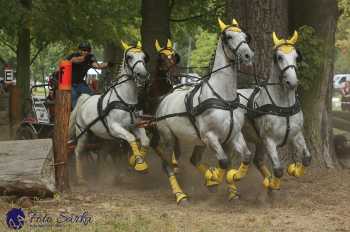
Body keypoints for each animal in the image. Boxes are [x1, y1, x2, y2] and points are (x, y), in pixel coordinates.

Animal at [68, 40, 150, 184]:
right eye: (129, 57)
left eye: (144, 57)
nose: (142, 75)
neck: (125, 101)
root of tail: (85, 99)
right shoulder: (115, 127)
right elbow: (131, 138)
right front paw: (140, 165)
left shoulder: (135, 125)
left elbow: (145, 140)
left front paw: (135, 161)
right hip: (83, 132)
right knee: (79, 152)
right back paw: (81, 178)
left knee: (102, 152)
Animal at [153, 17, 254, 203]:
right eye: (228, 37)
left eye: (245, 36)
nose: (248, 55)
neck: (223, 98)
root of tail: (164, 99)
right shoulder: (210, 136)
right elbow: (224, 162)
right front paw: (214, 180)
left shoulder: (234, 134)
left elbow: (246, 157)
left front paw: (229, 181)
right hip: (169, 137)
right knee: (168, 165)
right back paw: (180, 195)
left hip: (198, 141)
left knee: (194, 159)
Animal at [238, 30, 312, 190]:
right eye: (279, 57)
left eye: (296, 56)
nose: (292, 82)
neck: (283, 107)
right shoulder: (269, 140)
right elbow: (278, 170)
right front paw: (273, 182)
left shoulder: (296, 134)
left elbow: (307, 158)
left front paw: (294, 169)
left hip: (258, 141)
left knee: (257, 160)